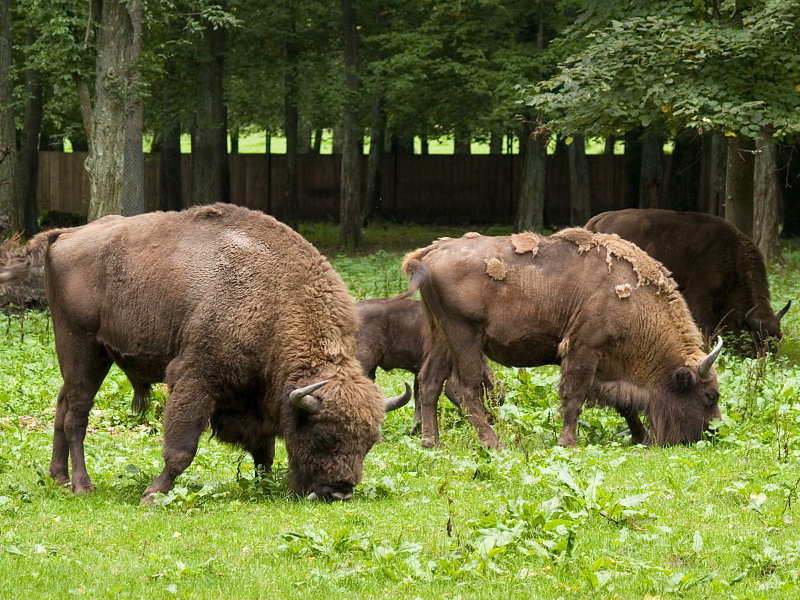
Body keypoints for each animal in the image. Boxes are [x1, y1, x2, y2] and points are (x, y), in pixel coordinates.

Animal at [0, 204, 410, 504]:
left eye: (369, 443)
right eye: (324, 437)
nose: (339, 492)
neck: (278, 301)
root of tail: (65, 234)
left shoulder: (256, 399)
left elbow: (264, 450)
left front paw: (264, 483)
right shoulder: (195, 378)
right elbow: (182, 448)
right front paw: (152, 495)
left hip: (93, 355)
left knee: (62, 404)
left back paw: (57, 478)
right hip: (79, 344)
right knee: (77, 416)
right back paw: (83, 486)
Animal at [404, 230, 720, 450]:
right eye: (709, 396)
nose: (713, 432)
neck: (636, 302)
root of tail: (429, 252)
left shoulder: (606, 365)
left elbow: (624, 404)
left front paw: (640, 437)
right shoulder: (585, 349)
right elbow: (575, 396)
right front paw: (567, 442)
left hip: (441, 336)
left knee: (430, 382)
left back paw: (432, 442)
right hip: (464, 336)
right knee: (466, 389)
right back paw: (493, 443)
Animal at [584, 209, 792, 354]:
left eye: (779, 338)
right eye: (756, 339)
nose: (768, 363)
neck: (731, 256)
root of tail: (597, 220)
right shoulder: (700, 298)